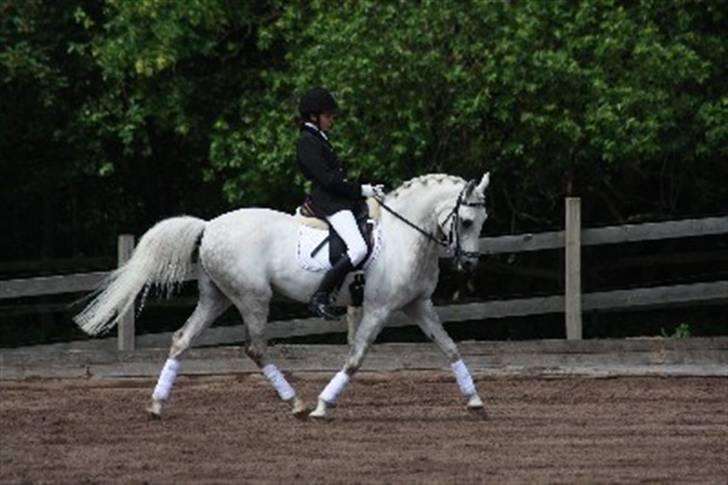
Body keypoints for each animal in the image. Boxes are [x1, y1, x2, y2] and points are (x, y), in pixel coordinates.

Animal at [74, 172, 490, 418]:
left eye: (483, 222)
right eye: (467, 221)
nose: (469, 266)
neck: (406, 237)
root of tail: (208, 227)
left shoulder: (418, 305)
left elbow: (450, 347)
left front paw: (475, 400)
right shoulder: (378, 308)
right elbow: (356, 357)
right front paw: (324, 404)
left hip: (216, 298)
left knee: (181, 339)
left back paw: (157, 404)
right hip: (253, 298)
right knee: (255, 348)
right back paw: (297, 403)